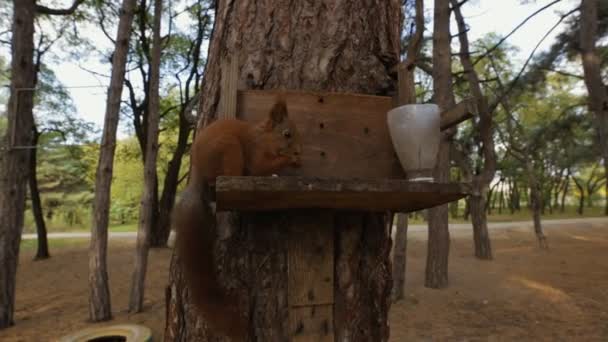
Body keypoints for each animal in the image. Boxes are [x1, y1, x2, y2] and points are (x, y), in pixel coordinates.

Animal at [172, 99, 300, 340]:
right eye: (287, 134)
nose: (298, 151)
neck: (264, 137)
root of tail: (198, 172)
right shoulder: (255, 152)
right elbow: (261, 167)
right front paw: (290, 160)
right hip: (229, 150)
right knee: (229, 174)